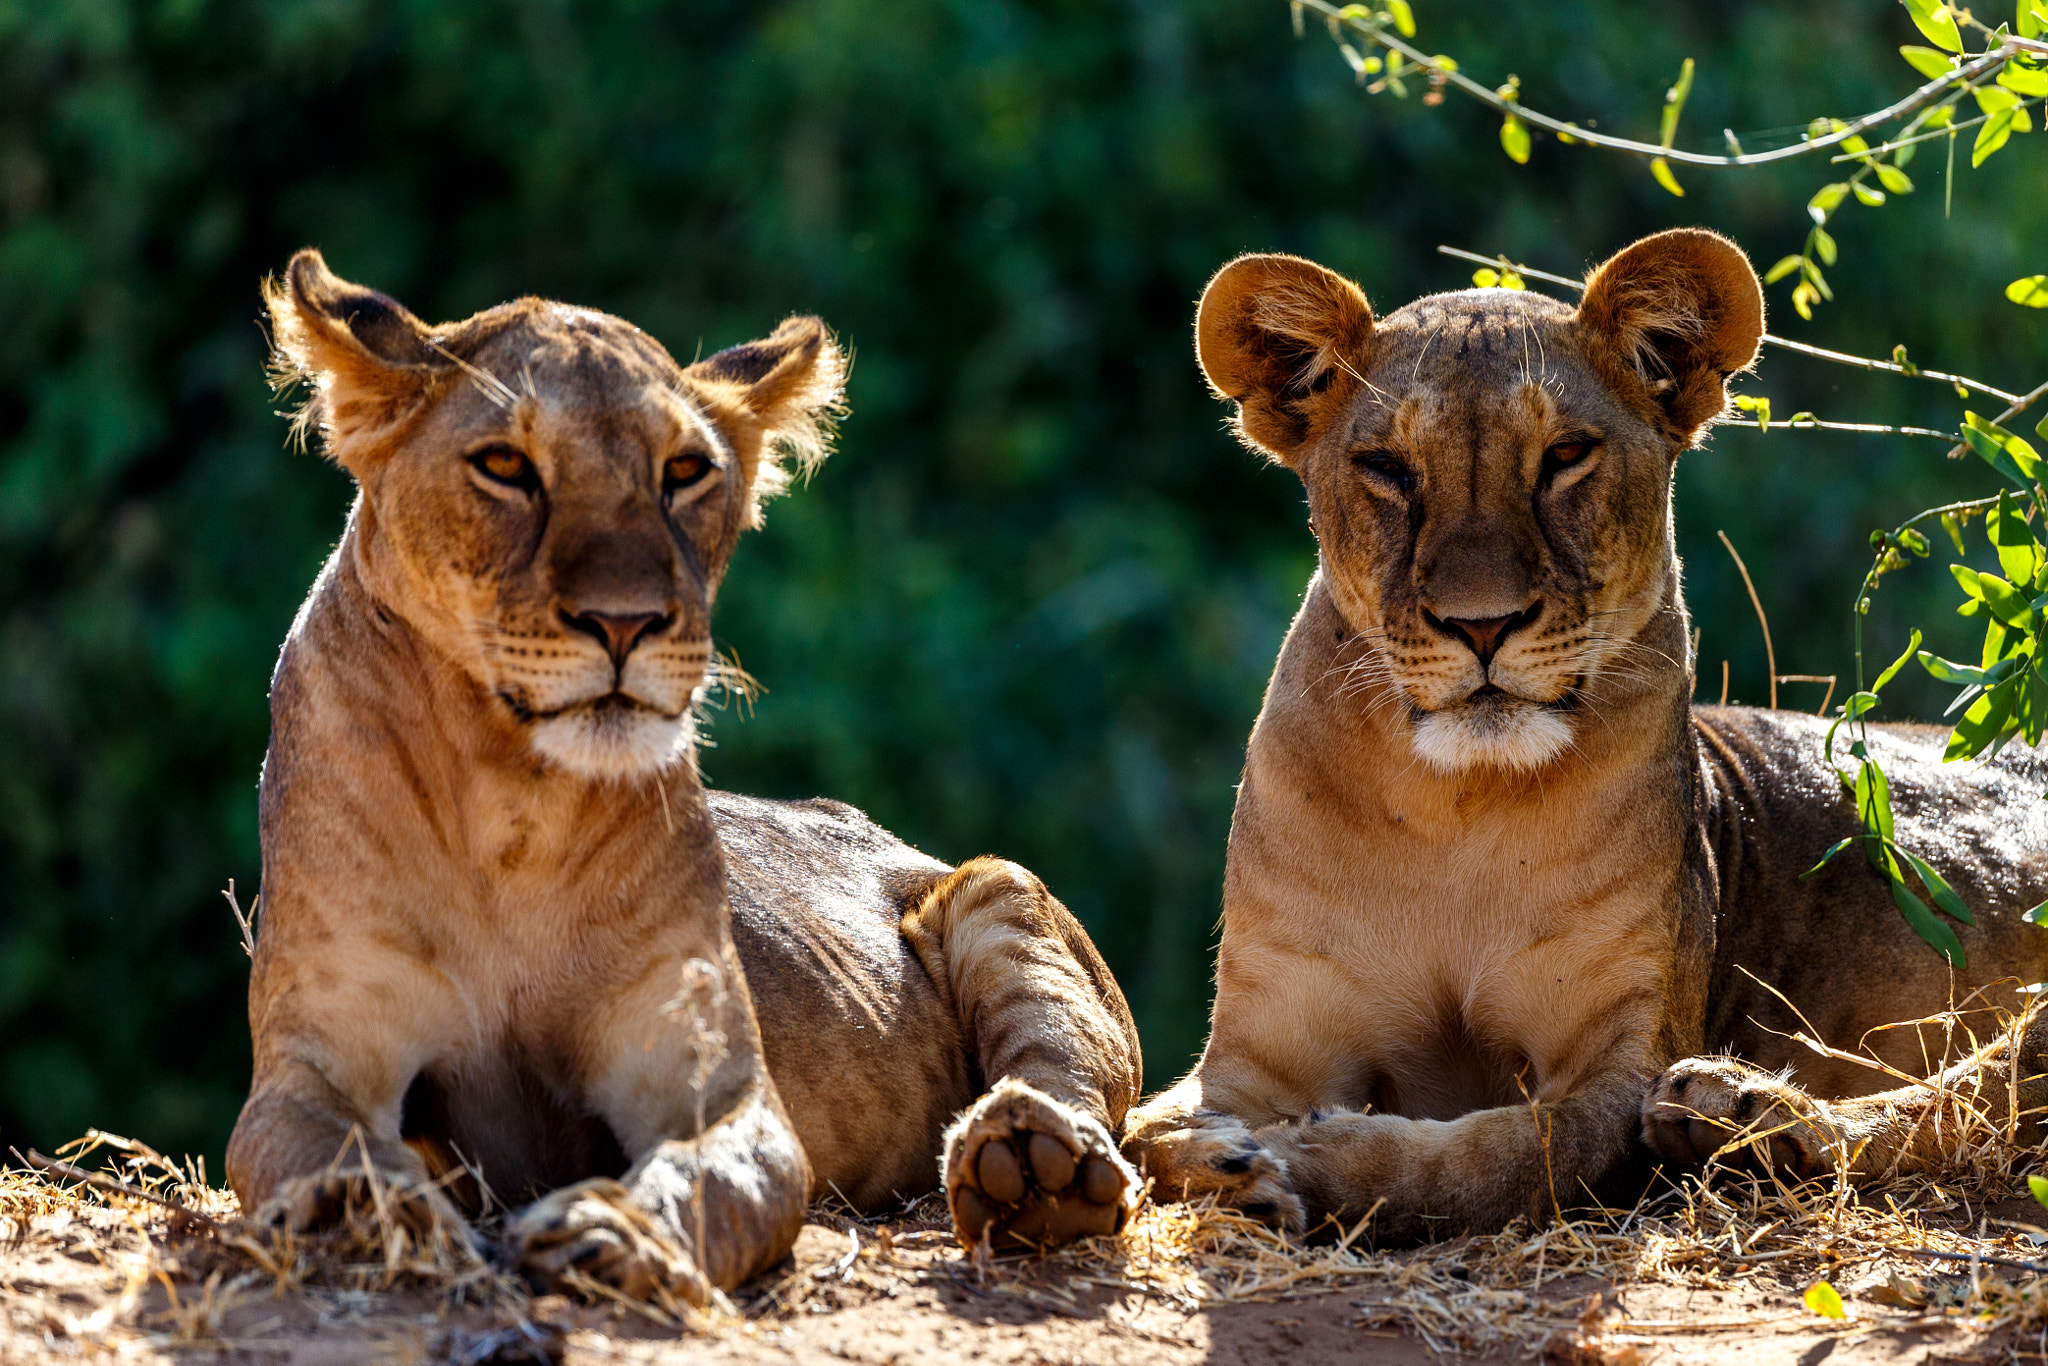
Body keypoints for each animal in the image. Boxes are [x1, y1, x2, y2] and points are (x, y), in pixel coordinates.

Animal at [234, 250, 1155, 1310]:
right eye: (504, 466)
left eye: (683, 472)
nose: (626, 622)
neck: (509, 801)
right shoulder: (309, 1071)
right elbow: (323, 1148)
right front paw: (365, 1211)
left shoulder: (715, 1086)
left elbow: (712, 1178)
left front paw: (614, 1230)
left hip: (1003, 896)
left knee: (1063, 1075)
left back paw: (1035, 1171)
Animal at [1122, 232, 2048, 1236]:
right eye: (1389, 469)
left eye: (1565, 454)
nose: (1482, 624)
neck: (1454, 807)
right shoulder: (1259, 1049)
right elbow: (1141, 1125)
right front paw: (1213, 1157)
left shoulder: (1620, 1064)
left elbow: (1498, 1159)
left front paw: (1315, 1159)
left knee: (1969, 1098)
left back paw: (1749, 1114)